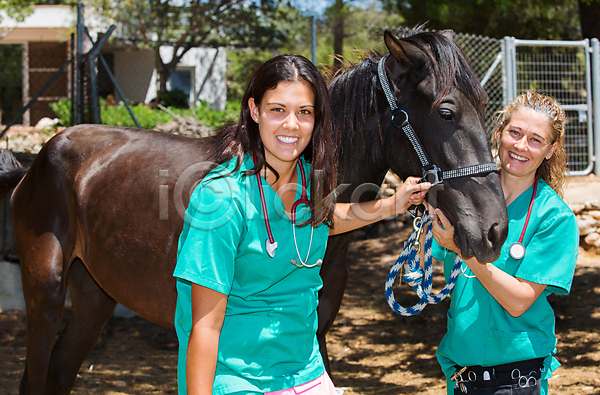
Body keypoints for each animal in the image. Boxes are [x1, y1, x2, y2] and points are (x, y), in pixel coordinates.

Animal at [2, 29, 506, 394]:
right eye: (446, 112)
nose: (495, 229)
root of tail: (40, 157)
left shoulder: (316, 331)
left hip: (94, 298)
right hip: (45, 293)